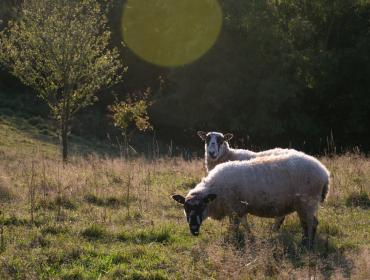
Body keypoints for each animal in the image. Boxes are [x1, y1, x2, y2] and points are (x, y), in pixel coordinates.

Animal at [171, 152, 330, 248]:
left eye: (201, 206)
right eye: (185, 208)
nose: (193, 229)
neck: (215, 191)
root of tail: (324, 173)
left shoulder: (234, 209)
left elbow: (234, 228)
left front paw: (233, 241)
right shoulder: (240, 209)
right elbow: (245, 224)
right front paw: (250, 237)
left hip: (308, 202)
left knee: (311, 224)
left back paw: (307, 245)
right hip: (304, 204)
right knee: (306, 224)